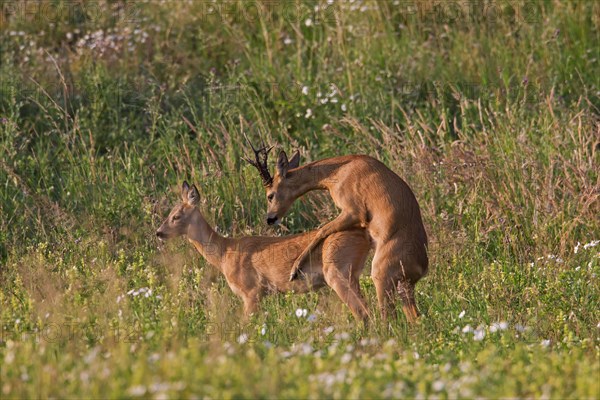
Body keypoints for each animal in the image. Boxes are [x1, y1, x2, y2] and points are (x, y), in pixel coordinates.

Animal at [156, 181, 370, 322]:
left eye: (176, 216)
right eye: (169, 213)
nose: (159, 232)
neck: (225, 253)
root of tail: (363, 233)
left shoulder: (251, 290)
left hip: (338, 270)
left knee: (363, 312)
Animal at [246, 145, 428, 324]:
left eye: (270, 195)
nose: (270, 219)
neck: (338, 172)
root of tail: (422, 266)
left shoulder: (353, 212)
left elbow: (322, 230)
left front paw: (294, 270)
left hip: (381, 276)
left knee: (387, 318)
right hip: (403, 288)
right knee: (414, 318)